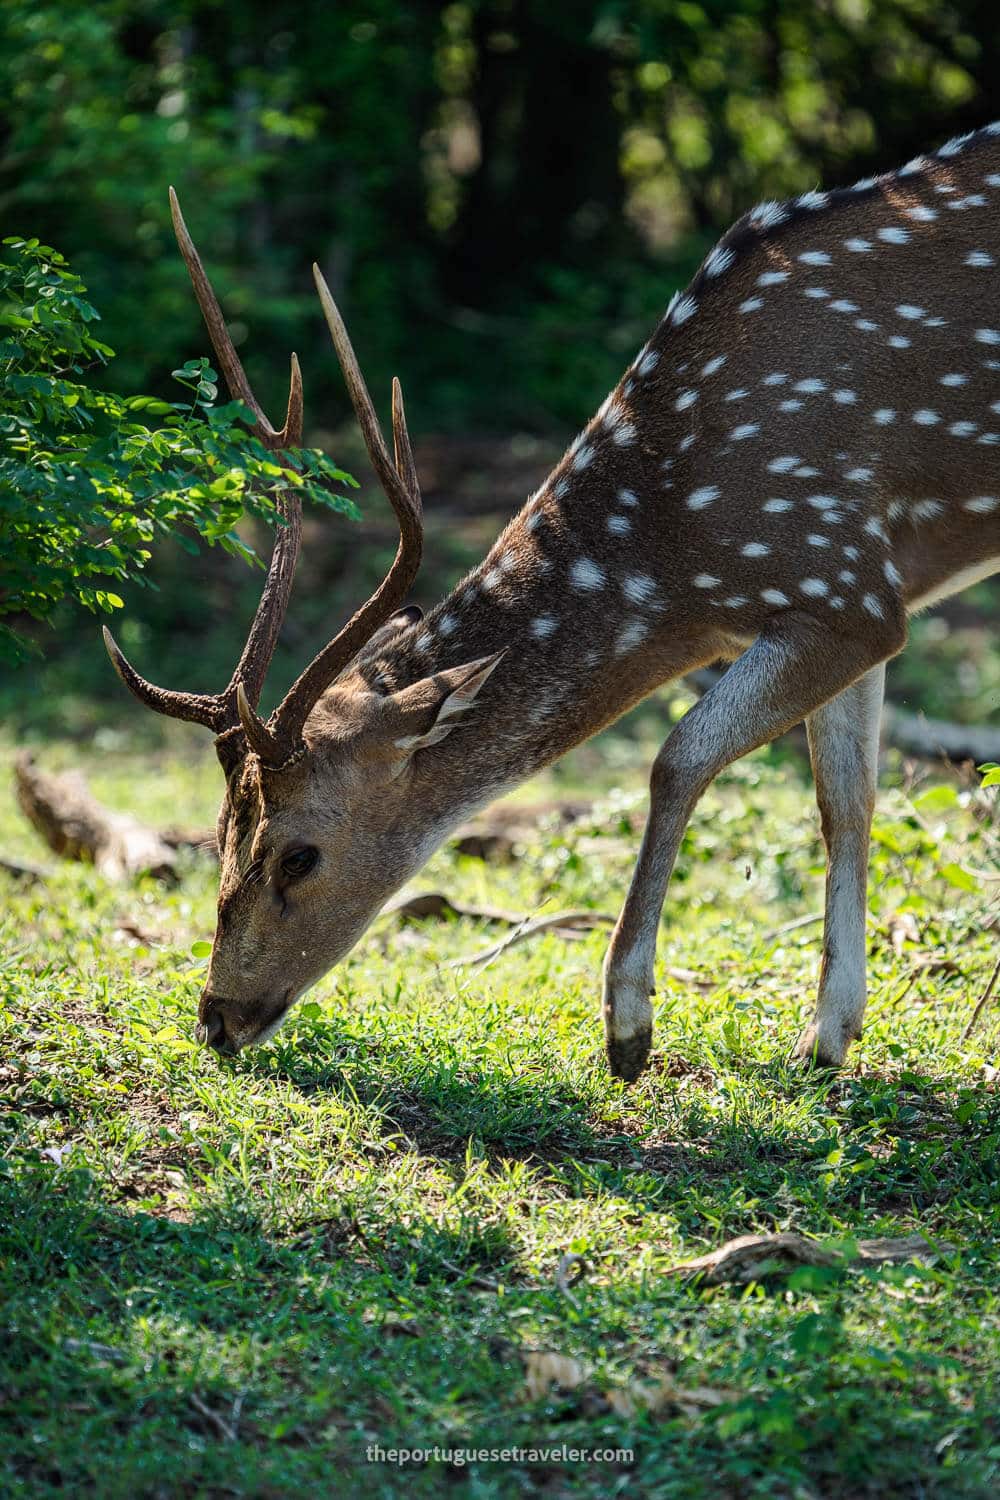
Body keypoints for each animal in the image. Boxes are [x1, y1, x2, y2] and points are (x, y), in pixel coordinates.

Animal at [106, 127, 1000, 1081]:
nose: (216, 1017)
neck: (681, 544)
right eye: (218, 832)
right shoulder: (859, 595)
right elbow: (846, 804)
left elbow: (677, 758)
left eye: (299, 855)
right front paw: (826, 1037)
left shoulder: (841, 584)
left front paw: (628, 1028)